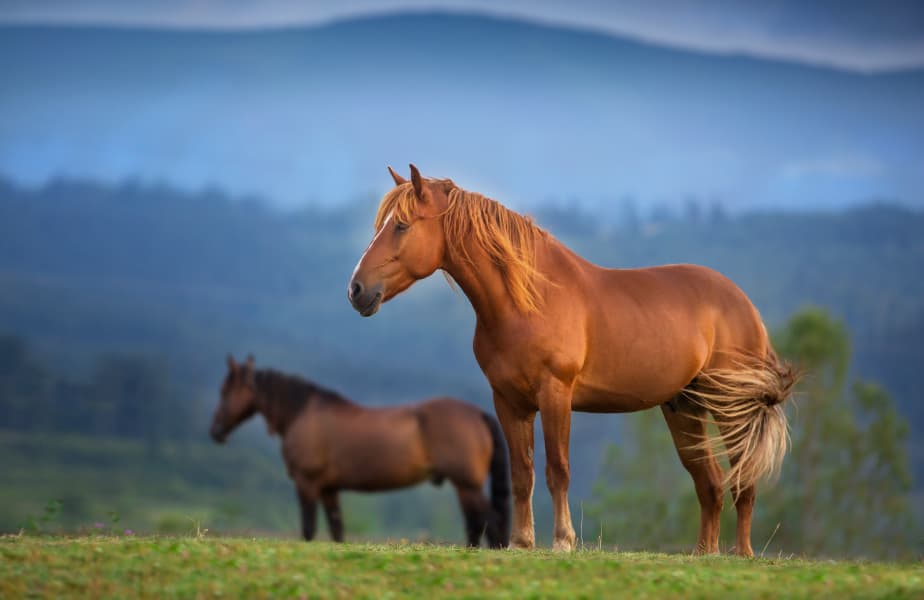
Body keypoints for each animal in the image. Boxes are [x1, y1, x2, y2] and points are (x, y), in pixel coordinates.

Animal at [210, 356, 512, 548]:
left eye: (225, 391)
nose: (215, 431)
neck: (303, 413)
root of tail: (478, 414)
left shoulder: (307, 484)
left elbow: (309, 529)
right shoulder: (329, 489)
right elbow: (337, 530)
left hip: (467, 484)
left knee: (490, 520)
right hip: (464, 486)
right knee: (475, 523)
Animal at [350, 165, 796, 556]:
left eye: (402, 225)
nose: (356, 290)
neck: (529, 299)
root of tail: (743, 304)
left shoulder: (556, 394)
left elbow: (557, 469)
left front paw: (563, 541)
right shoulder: (509, 401)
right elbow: (522, 473)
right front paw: (521, 542)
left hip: (733, 409)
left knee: (743, 479)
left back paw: (741, 554)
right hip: (684, 408)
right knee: (710, 483)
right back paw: (704, 554)